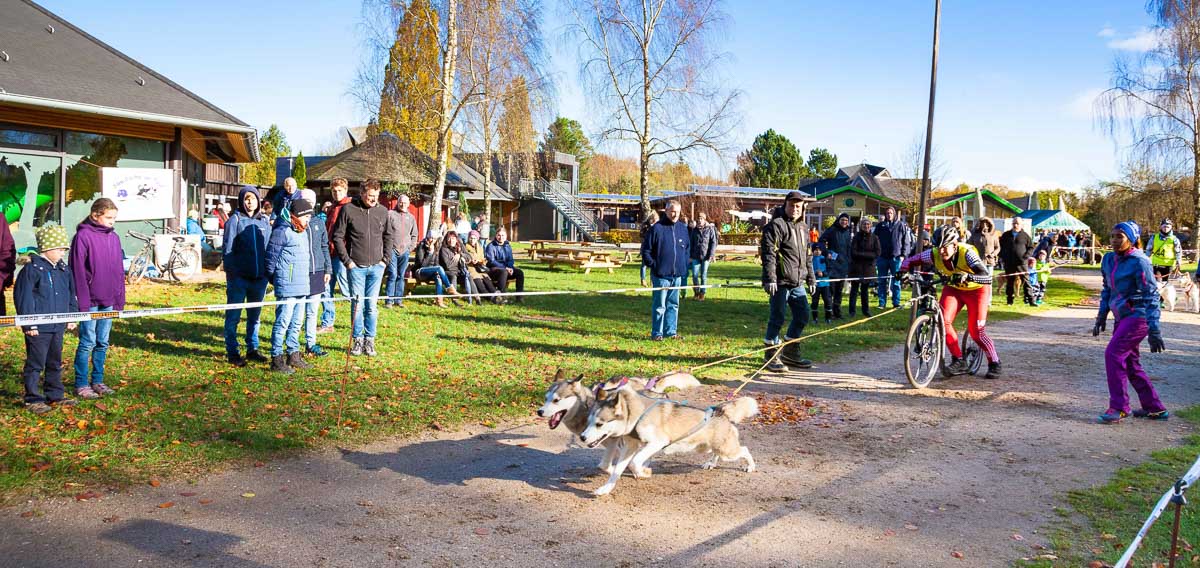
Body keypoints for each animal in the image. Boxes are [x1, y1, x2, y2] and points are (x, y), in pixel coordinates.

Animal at [537, 365, 700, 470]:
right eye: (545, 398)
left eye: (556, 400)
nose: (539, 412)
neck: (587, 406)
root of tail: (651, 386)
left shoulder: (614, 440)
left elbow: (606, 464)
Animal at [578, 381, 758, 494]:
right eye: (589, 421)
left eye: (599, 424)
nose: (582, 437)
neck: (637, 413)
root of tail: (721, 412)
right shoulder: (630, 447)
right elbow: (617, 470)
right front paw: (606, 489)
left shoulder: (657, 443)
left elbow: (635, 462)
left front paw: (643, 472)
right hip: (711, 447)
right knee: (716, 453)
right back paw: (711, 463)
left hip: (728, 452)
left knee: (745, 450)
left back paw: (750, 466)